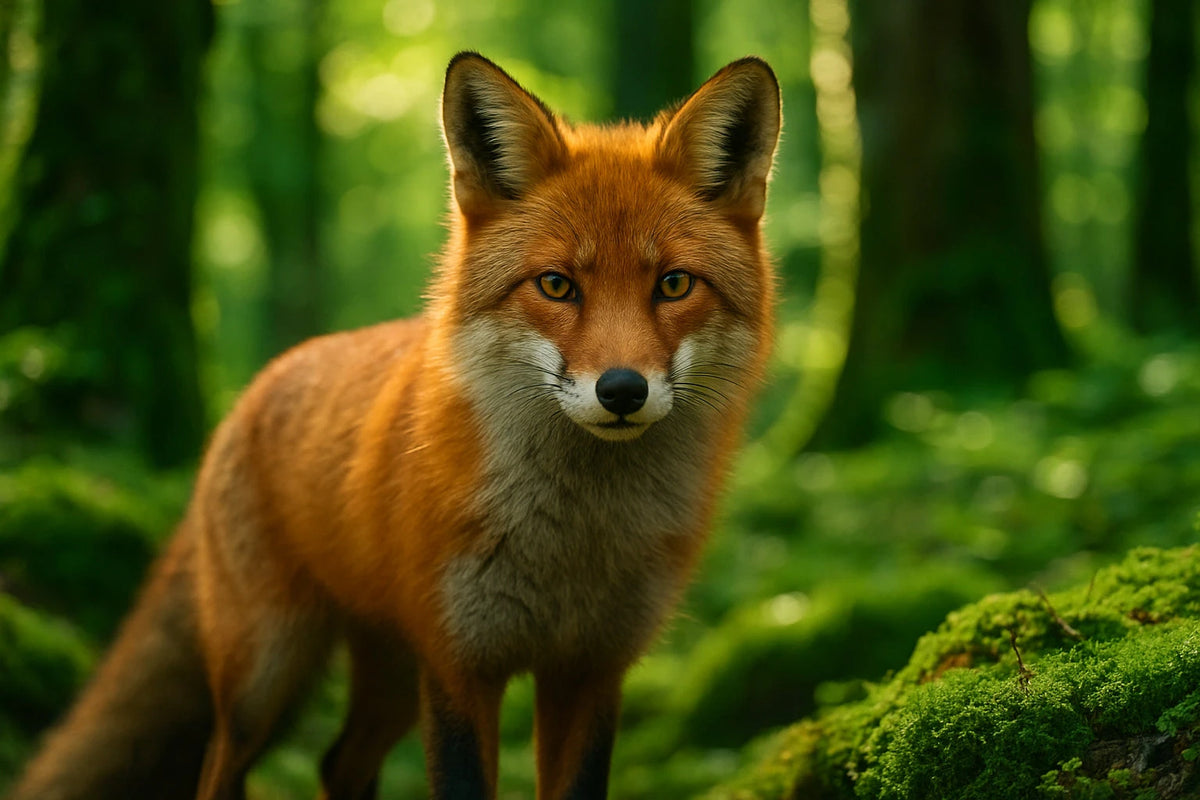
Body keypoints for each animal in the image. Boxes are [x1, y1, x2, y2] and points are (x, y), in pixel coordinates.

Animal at [7, 52, 781, 800]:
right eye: (557, 285)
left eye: (673, 285)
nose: (622, 390)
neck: (574, 543)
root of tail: (260, 384)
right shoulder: (459, 664)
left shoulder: (590, 671)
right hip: (266, 673)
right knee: (221, 767)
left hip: (390, 679)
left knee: (338, 764)